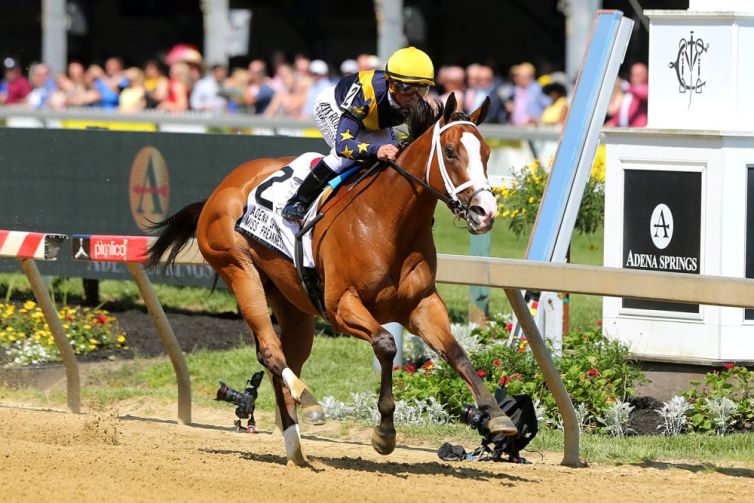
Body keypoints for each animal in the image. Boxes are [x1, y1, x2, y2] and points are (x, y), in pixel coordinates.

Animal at [148, 92, 516, 466]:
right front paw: (384, 433)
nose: (485, 213)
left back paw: (295, 449)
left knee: (284, 358)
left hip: (293, 304)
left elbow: (456, 353)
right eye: (451, 152)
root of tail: (219, 190)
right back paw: (309, 403)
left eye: (487, 153)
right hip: (238, 268)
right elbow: (386, 343)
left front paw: (497, 415)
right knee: (270, 351)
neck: (387, 221)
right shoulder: (341, 306)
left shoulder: (422, 304)